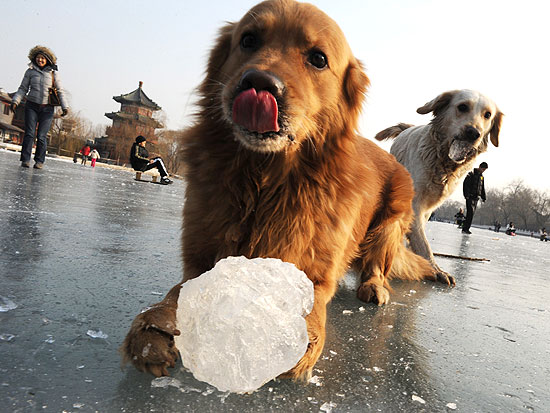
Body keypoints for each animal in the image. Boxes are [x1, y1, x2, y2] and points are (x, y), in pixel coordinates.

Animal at [123, 0, 450, 380]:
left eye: (318, 59)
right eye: (249, 40)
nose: (259, 83)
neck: (264, 180)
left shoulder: (314, 272)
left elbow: (308, 301)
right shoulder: (202, 261)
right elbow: (177, 295)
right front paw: (152, 328)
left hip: (391, 223)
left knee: (377, 266)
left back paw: (374, 287)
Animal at [378, 87, 502, 280]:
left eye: (488, 114)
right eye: (462, 107)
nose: (473, 133)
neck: (443, 163)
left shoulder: (428, 206)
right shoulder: (414, 201)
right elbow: (422, 240)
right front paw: (435, 269)